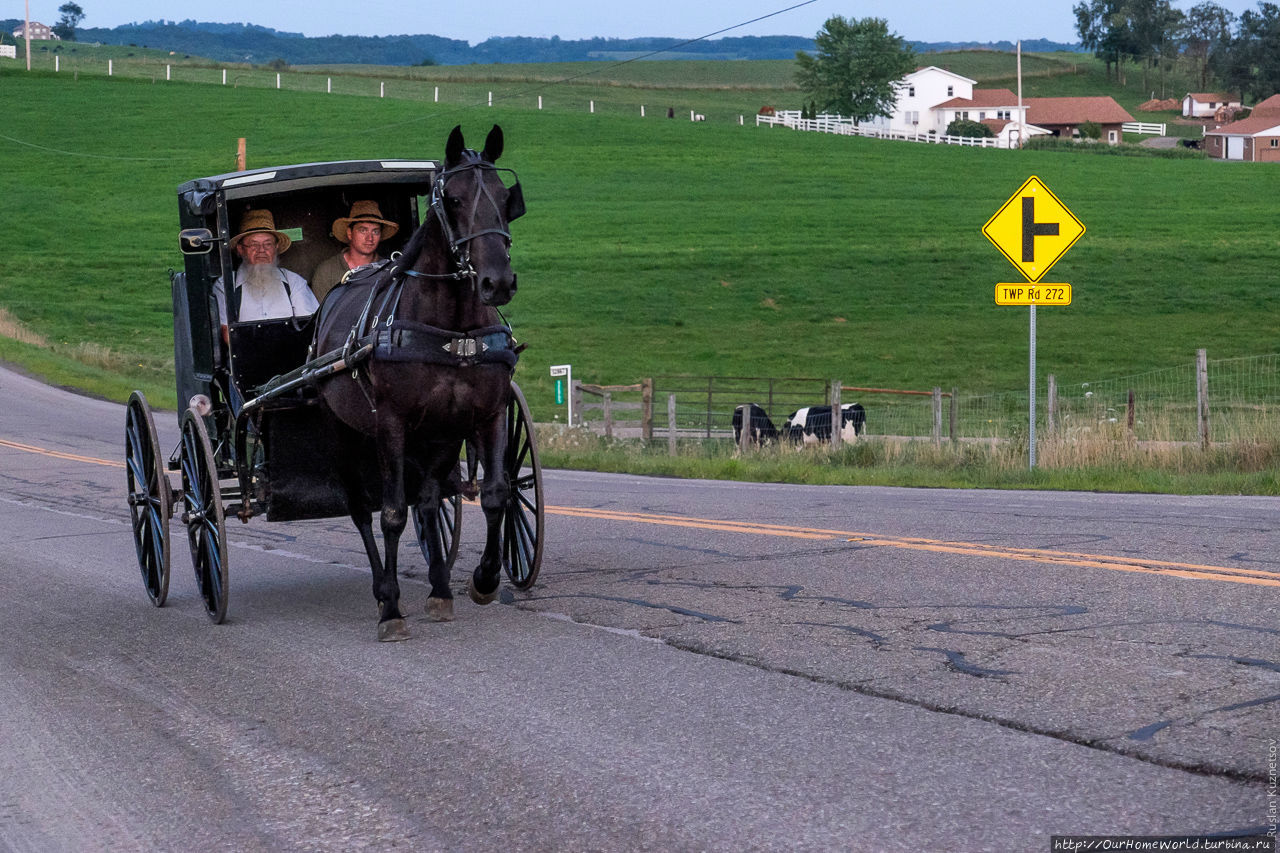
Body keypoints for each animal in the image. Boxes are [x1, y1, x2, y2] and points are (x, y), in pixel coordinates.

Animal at [314, 122, 524, 635]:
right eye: (453, 198)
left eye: (504, 195)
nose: (497, 282)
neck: (454, 330)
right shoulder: (391, 422)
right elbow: (390, 514)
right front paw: (391, 607)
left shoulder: (485, 414)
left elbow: (495, 495)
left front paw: (484, 580)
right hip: (345, 433)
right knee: (361, 509)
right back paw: (382, 590)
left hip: (436, 437)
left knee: (428, 501)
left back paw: (440, 588)